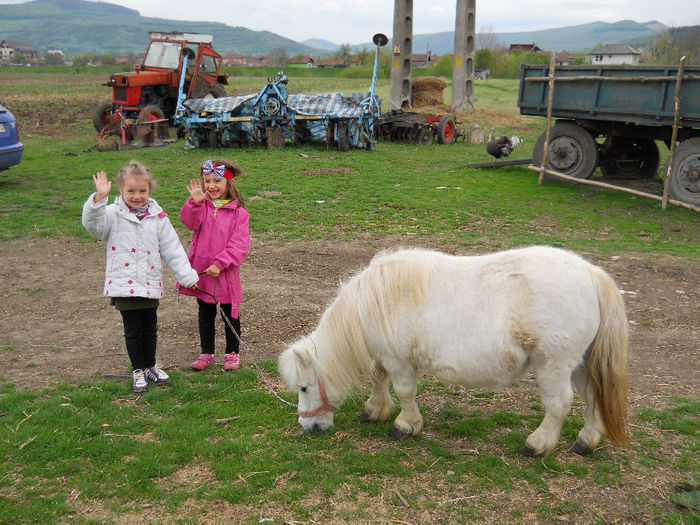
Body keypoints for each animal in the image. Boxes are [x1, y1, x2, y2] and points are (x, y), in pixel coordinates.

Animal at [278, 246, 628, 454]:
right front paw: (374, 410)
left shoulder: (400, 361)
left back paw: (537, 444)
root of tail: (592, 275)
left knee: (559, 404)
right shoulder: (386, 356)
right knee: (592, 397)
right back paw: (586, 440)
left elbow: (404, 391)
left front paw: (405, 426)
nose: (308, 428)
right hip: (580, 364)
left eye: (304, 387)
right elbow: (379, 378)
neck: (372, 302)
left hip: (553, 365)